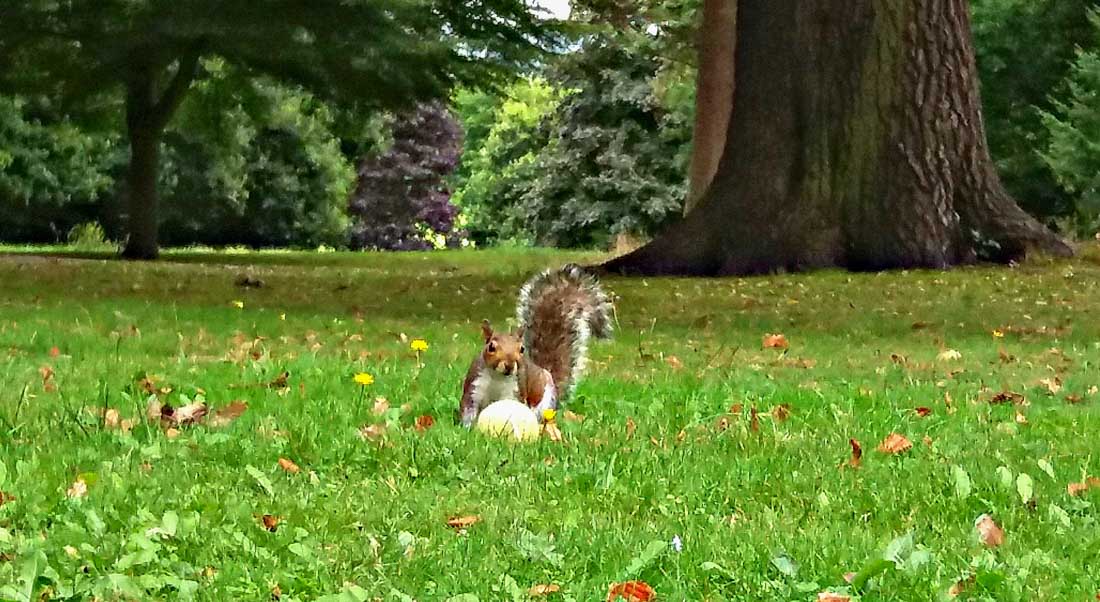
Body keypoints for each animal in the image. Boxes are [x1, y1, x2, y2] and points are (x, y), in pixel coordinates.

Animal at [455, 265, 611, 429]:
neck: (497, 377)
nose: (509, 365)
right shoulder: (474, 386)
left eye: (521, 349)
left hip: (546, 401)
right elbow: (468, 409)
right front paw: (467, 428)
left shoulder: (516, 390)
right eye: (491, 347)